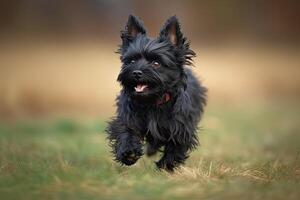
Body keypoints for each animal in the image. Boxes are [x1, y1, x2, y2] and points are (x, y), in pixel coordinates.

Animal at [106, 14, 206, 171]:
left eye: (156, 63)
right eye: (132, 60)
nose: (136, 72)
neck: (152, 101)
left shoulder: (181, 127)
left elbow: (175, 147)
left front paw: (166, 166)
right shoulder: (128, 118)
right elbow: (126, 131)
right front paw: (129, 153)